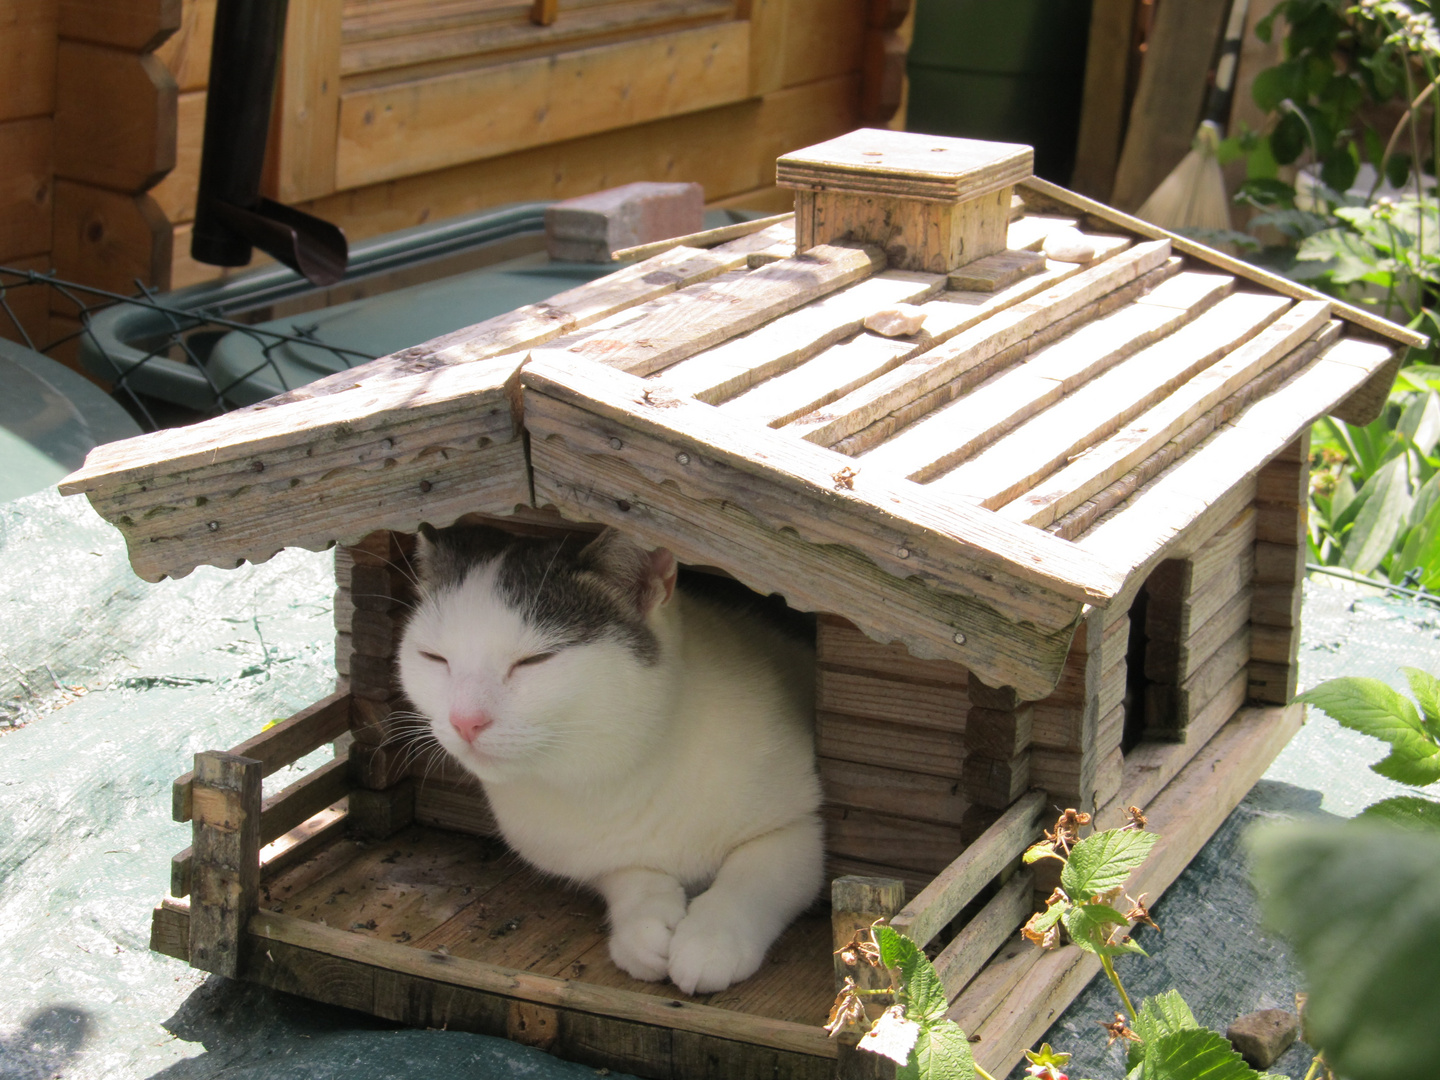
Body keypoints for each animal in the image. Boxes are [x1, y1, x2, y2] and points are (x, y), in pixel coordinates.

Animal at [397, 524, 823, 996]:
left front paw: (712, 940)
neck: (612, 776)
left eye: (535, 660)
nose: (465, 720)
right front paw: (643, 929)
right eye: (434, 658)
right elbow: (628, 874)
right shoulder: (587, 853)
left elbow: (756, 875)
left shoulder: (799, 825)